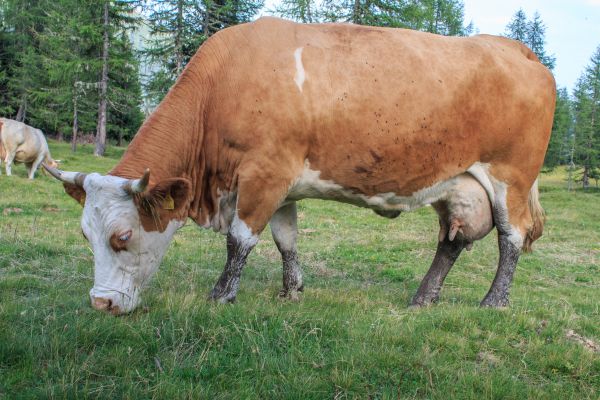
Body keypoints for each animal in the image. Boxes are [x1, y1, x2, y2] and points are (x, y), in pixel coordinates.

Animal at [44, 17, 556, 314]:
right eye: (85, 235)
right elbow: (284, 238)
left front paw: (220, 296)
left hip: (511, 178)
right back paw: (422, 298)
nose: (100, 304)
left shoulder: (264, 174)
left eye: (122, 236)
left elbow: (239, 241)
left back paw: (494, 302)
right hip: (457, 184)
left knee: (511, 239)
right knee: (451, 243)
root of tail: (517, 49)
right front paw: (291, 291)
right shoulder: (281, 184)